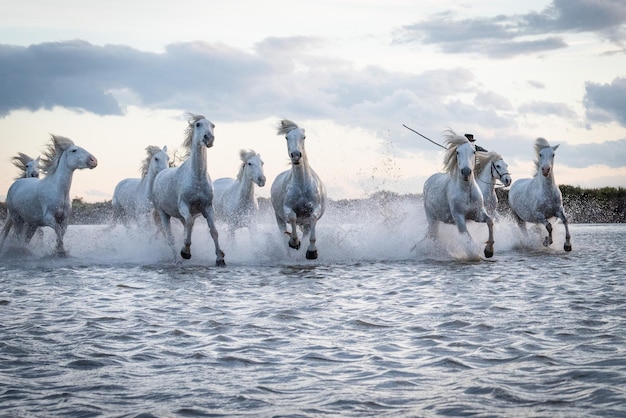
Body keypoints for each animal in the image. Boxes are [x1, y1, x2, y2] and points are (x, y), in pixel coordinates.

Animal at [150, 113, 225, 264]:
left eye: (213, 125)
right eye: (198, 124)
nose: (209, 138)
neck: (197, 178)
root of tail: (160, 173)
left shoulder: (208, 208)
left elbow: (214, 231)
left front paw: (220, 258)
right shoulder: (184, 206)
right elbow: (189, 224)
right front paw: (185, 253)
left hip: (180, 217)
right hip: (163, 214)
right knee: (170, 238)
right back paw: (177, 260)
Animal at [270, 119, 326, 260]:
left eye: (304, 137)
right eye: (286, 137)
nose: (295, 155)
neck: (302, 185)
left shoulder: (315, 209)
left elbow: (313, 219)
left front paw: (312, 252)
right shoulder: (287, 208)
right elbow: (292, 217)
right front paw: (294, 242)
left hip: (305, 225)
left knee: (306, 233)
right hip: (279, 218)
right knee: (284, 236)